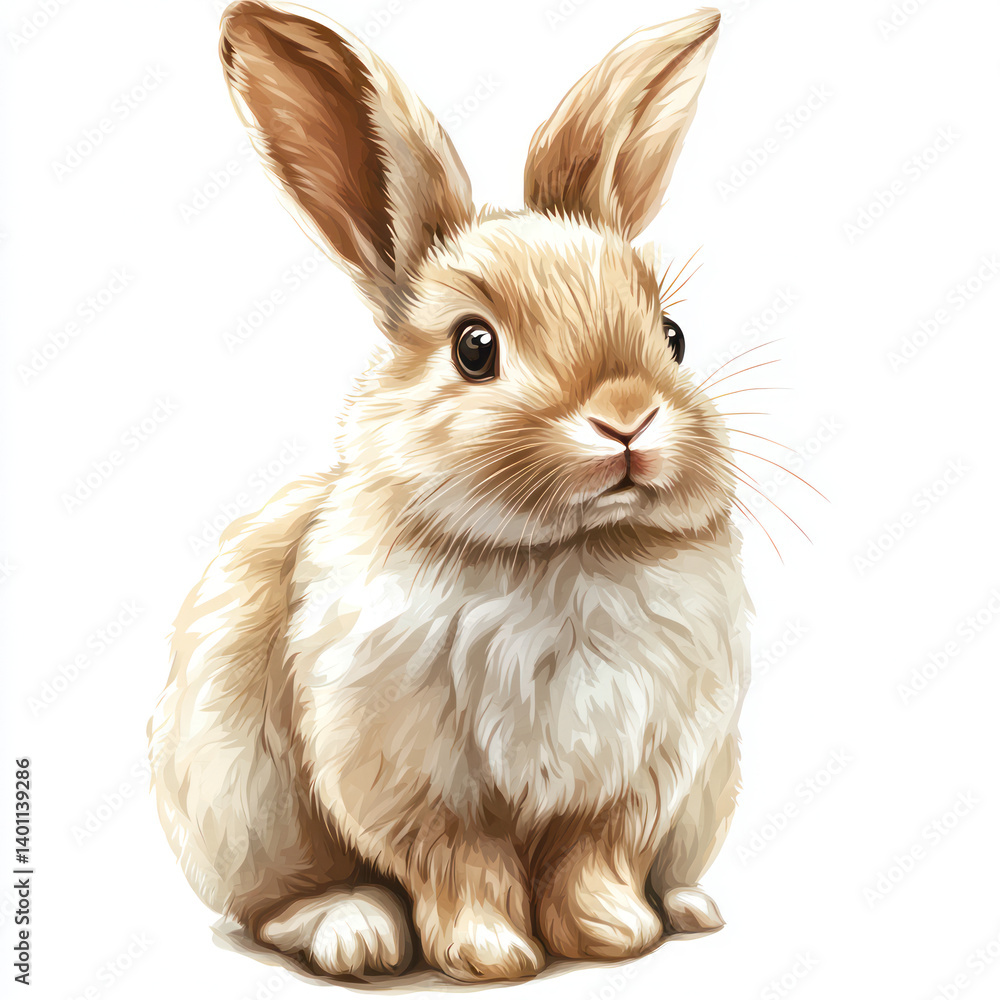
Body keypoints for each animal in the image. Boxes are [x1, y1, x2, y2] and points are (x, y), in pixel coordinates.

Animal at [148, 0, 751, 983]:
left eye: (673, 335)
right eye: (475, 348)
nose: (626, 419)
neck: (561, 554)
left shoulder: (636, 775)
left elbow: (593, 857)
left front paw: (614, 935)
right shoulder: (413, 779)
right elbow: (464, 864)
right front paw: (490, 955)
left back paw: (689, 907)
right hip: (241, 806)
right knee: (278, 907)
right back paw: (354, 932)